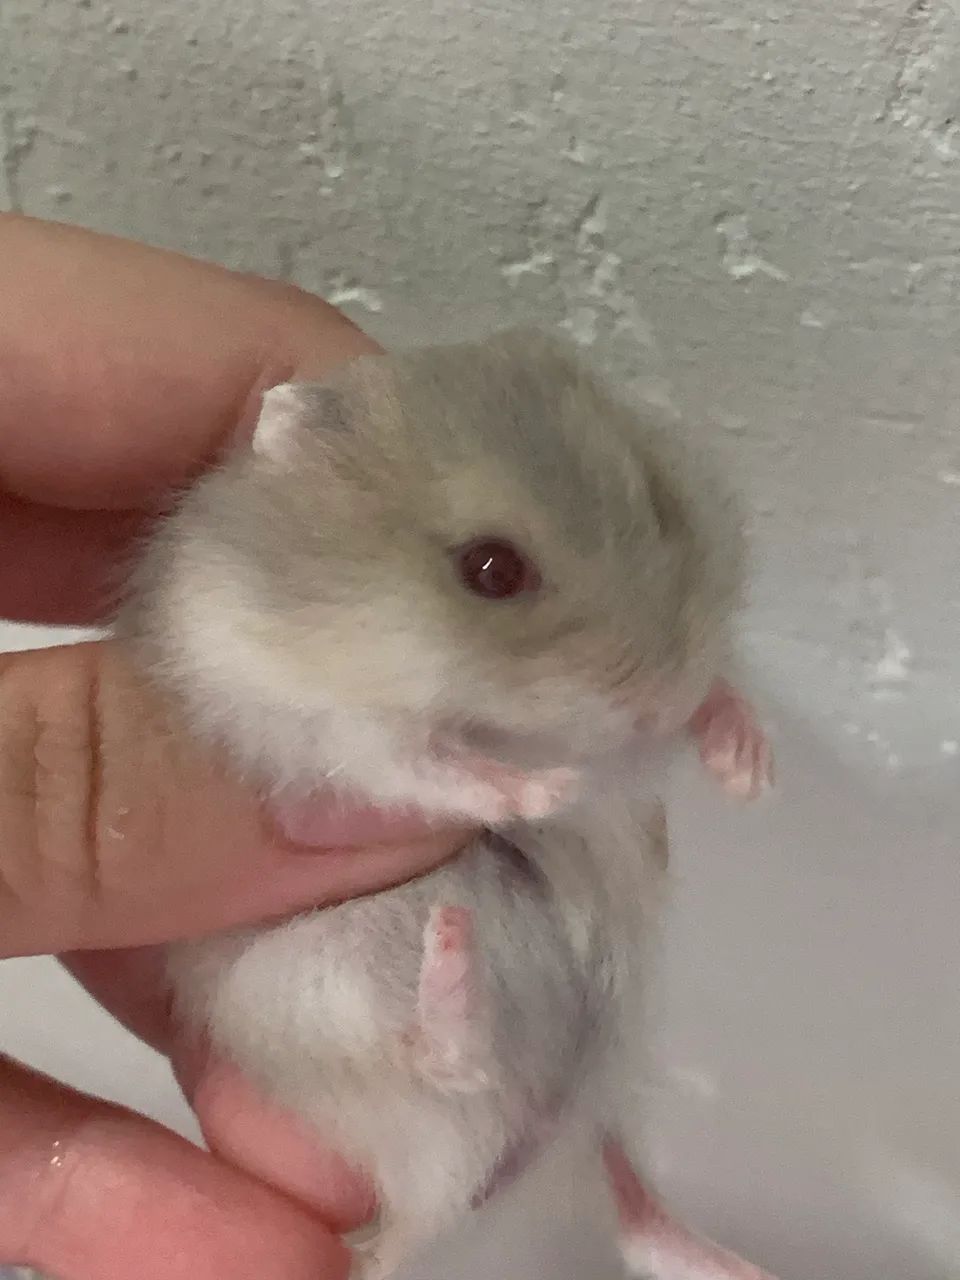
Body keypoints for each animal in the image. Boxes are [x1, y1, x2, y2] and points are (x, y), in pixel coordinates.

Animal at [120, 329, 777, 1279]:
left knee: (626, 1204)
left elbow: (698, 709)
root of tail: (432, 1220)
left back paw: (740, 1264)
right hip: (316, 990)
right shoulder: (323, 729)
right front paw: (544, 791)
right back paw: (453, 955)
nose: (658, 694)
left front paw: (749, 767)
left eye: (660, 505)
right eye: (491, 570)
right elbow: (430, 762)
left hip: (601, 1080)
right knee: (445, 1065)